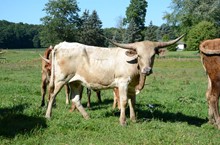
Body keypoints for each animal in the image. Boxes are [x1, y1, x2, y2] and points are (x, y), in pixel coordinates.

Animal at [44, 34, 184, 125]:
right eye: (139, 55)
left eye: (153, 55)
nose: (147, 70)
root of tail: (61, 45)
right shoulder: (123, 83)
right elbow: (123, 101)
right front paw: (123, 121)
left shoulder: (132, 86)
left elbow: (132, 102)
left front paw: (133, 119)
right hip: (61, 79)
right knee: (52, 95)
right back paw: (48, 115)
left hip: (75, 82)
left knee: (76, 99)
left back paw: (87, 117)